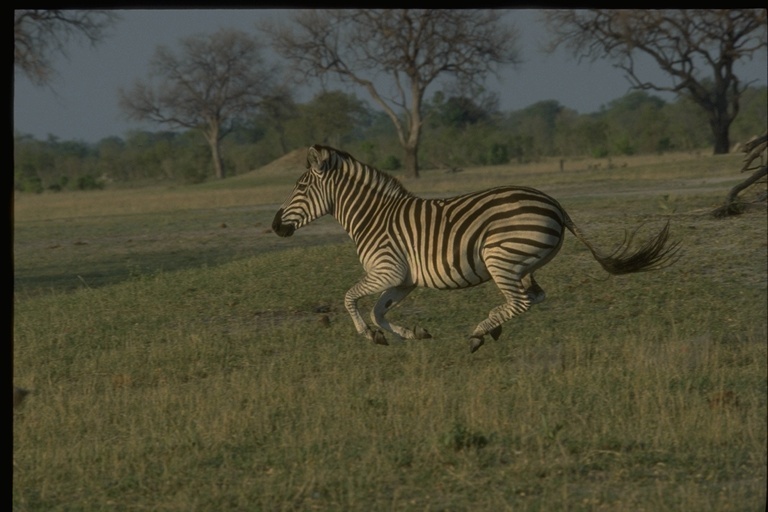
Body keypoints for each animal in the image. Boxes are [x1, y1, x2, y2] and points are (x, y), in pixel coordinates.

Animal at [272, 144, 680, 352]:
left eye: (300, 187)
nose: (275, 226)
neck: (372, 217)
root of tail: (553, 202)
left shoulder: (387, 270)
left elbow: (350, 298)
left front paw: (369, 336)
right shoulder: (403, 279)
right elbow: (378, 309)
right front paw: (410, 334)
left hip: (499, 257)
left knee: (521, 301)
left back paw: (479, 332)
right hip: (521, 263)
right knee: (534, 297)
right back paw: (491, 328)